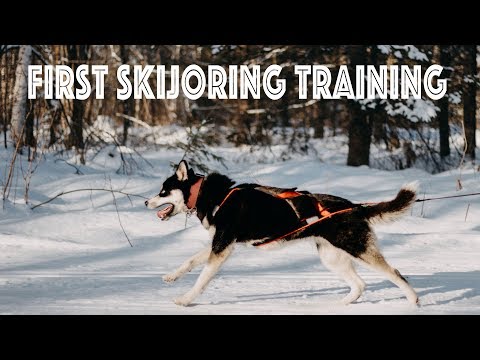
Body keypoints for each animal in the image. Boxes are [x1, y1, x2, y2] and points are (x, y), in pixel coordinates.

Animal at [144, 160, 418, 306]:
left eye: (163, 191)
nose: (146, 202)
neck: (214, 197)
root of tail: (355, 207)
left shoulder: (222, 247)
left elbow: (202, 280)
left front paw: (185, 299)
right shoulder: (220, 244)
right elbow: (190, 261)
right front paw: (171, 276)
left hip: (357, 248)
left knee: (396, 274)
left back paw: (413, 300)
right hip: (332, 258)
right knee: (360, 284)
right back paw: (342, 304)